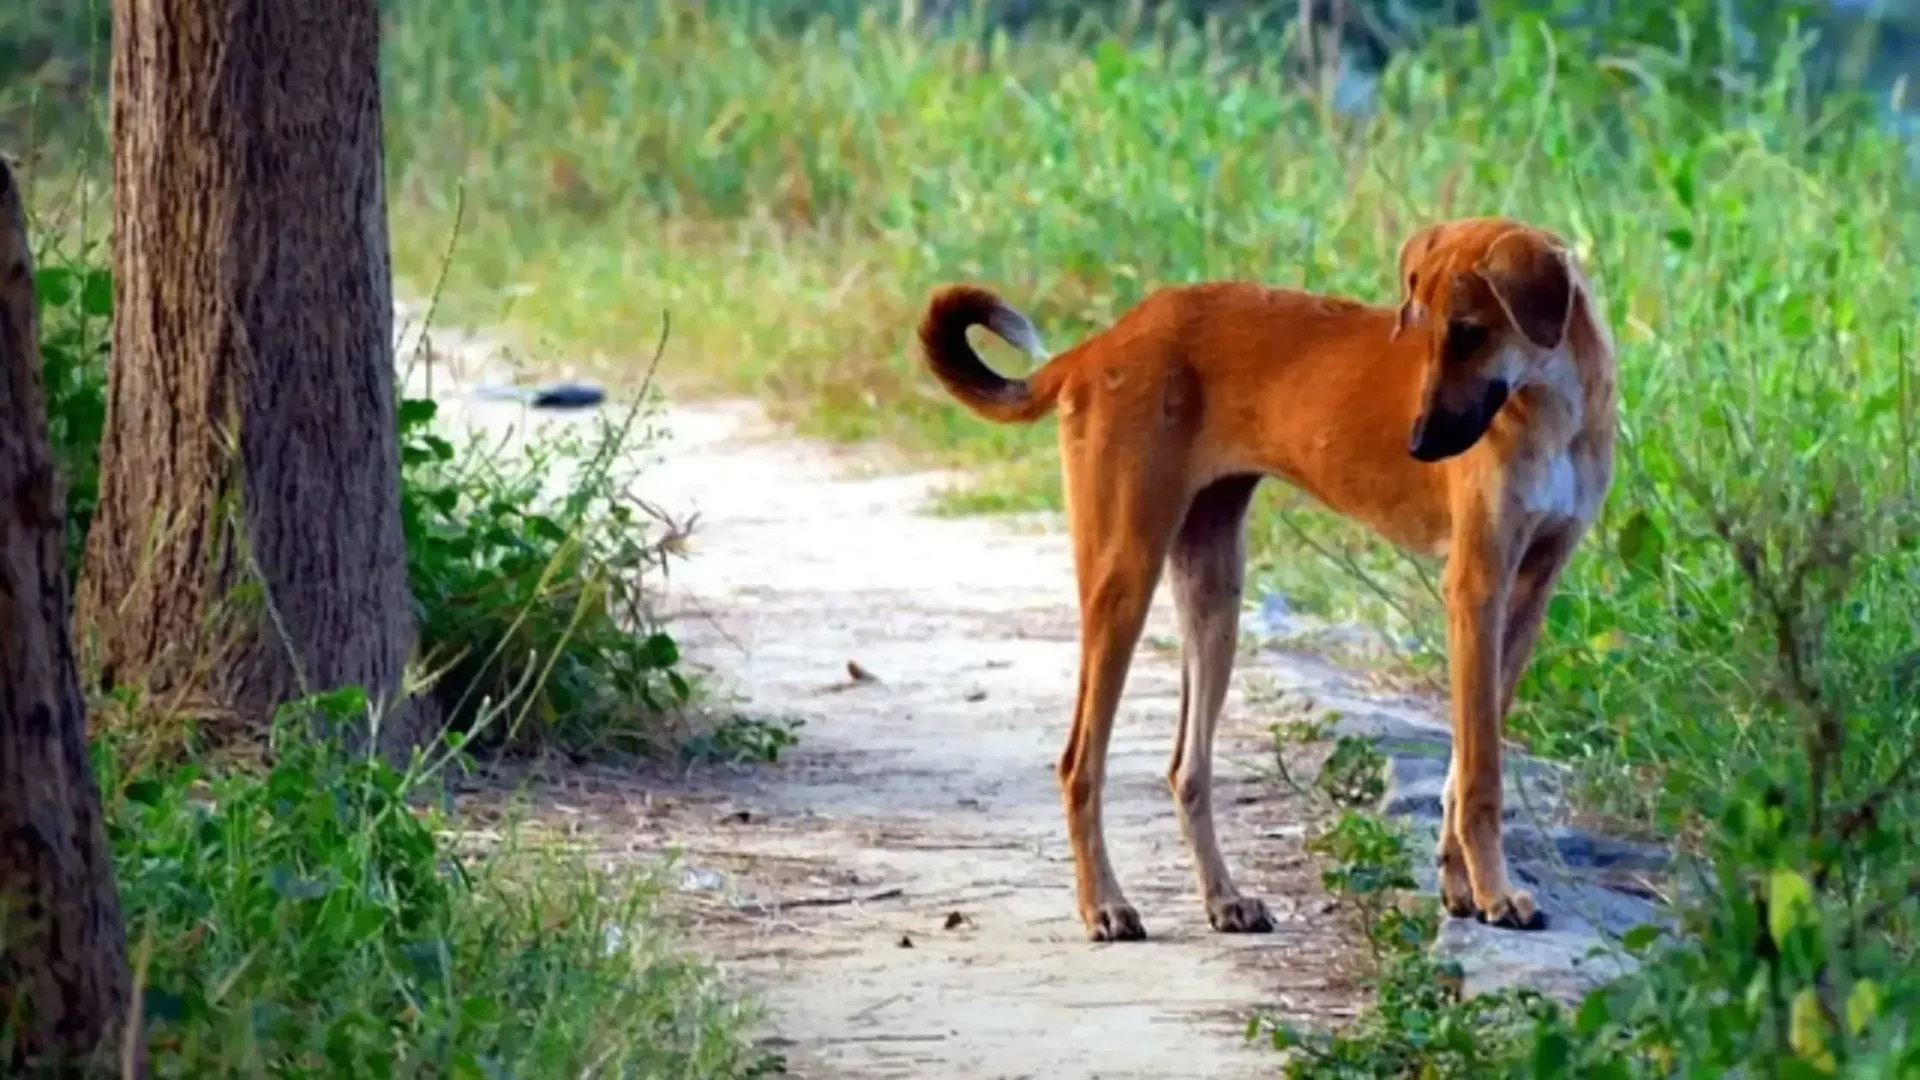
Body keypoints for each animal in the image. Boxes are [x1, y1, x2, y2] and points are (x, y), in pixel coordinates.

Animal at [921, 216, 1612, 933]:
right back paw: (1105, 905)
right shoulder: (1475, 589)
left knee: (1187, 768)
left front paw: (1461, 886)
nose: (1418, 445)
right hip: (1123, 576)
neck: (1549, 408)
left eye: (1470, 332)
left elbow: (1464, 763)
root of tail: (1097, 345)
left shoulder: (1527, 595)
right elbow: (1479, 774)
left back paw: (1224, 897)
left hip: (1214, 592)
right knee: (1079, 764)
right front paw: (1495, 892)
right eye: (1421, 331)